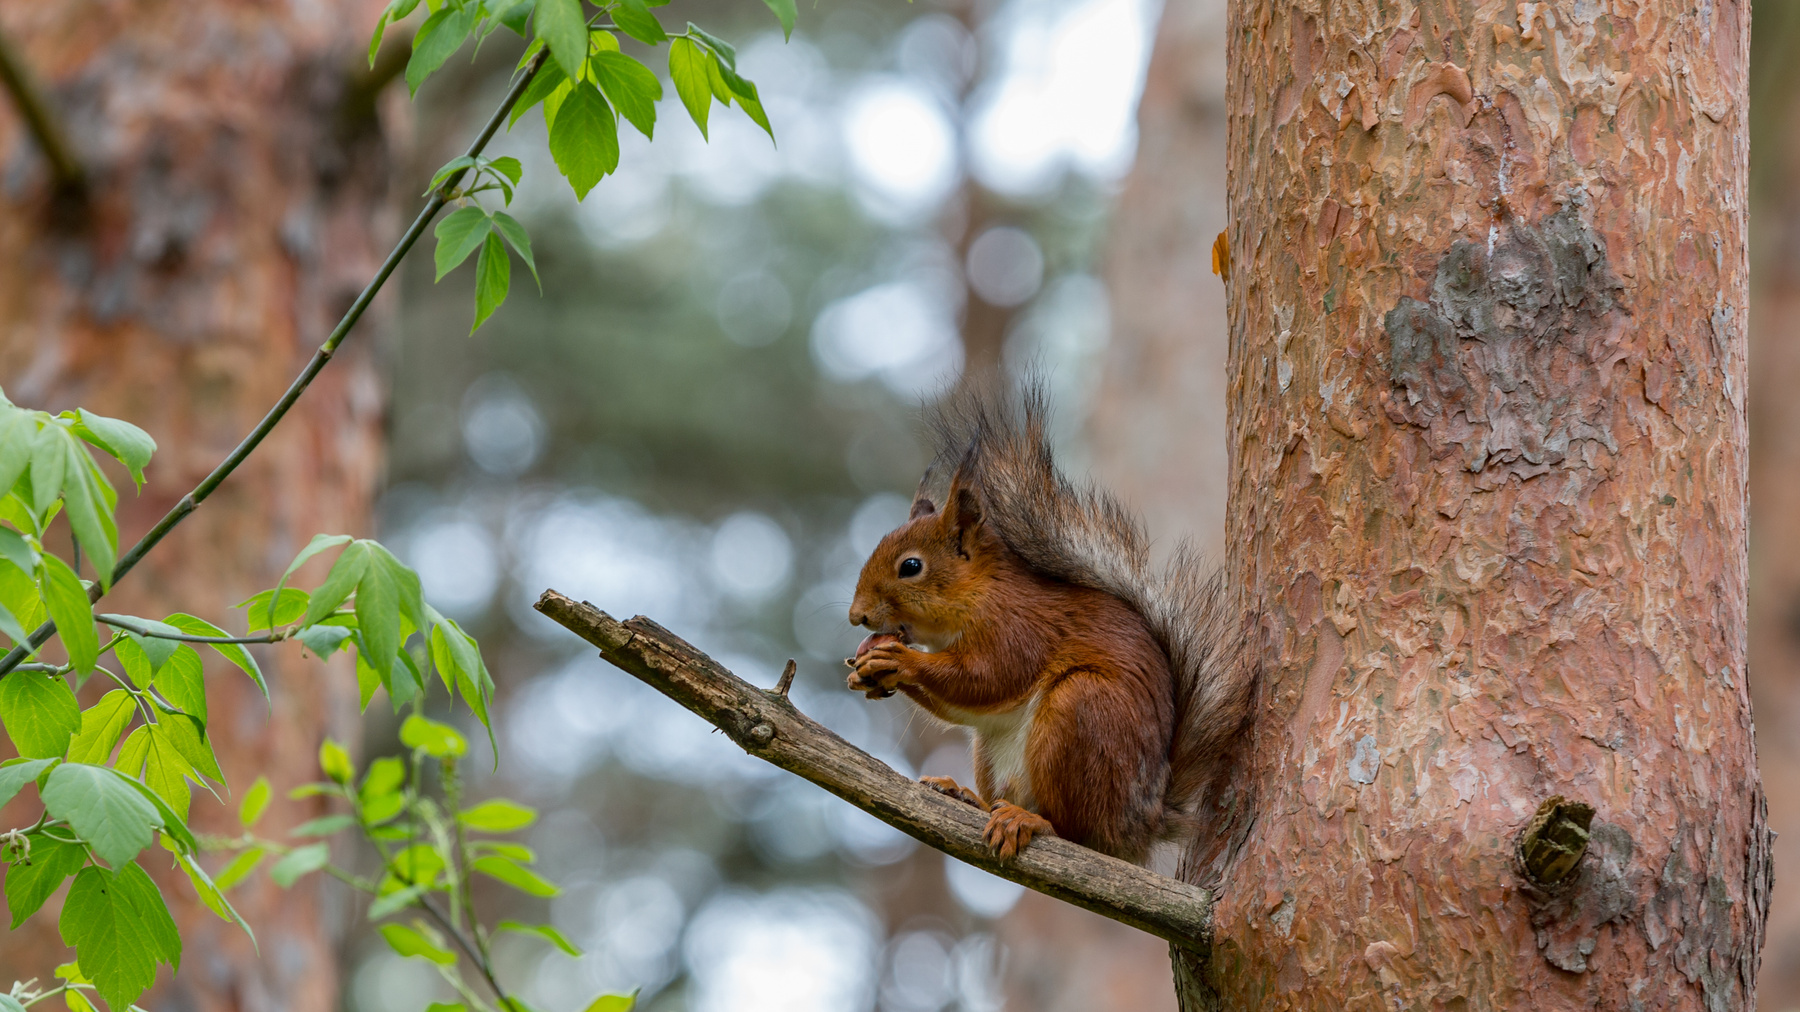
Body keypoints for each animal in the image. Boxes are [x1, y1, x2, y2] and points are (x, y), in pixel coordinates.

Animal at [845, 385, 1251, 865]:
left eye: (911, 566)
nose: (856, 616)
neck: (977, 597)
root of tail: (1140, 826)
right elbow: (959, 705)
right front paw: (867, 672)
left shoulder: (1020, 628)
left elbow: (986, 678)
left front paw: (900, 660)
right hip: (991, 751)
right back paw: (965, 795)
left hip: (1082, 711)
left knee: (1076, 832)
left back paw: (1029, 821)